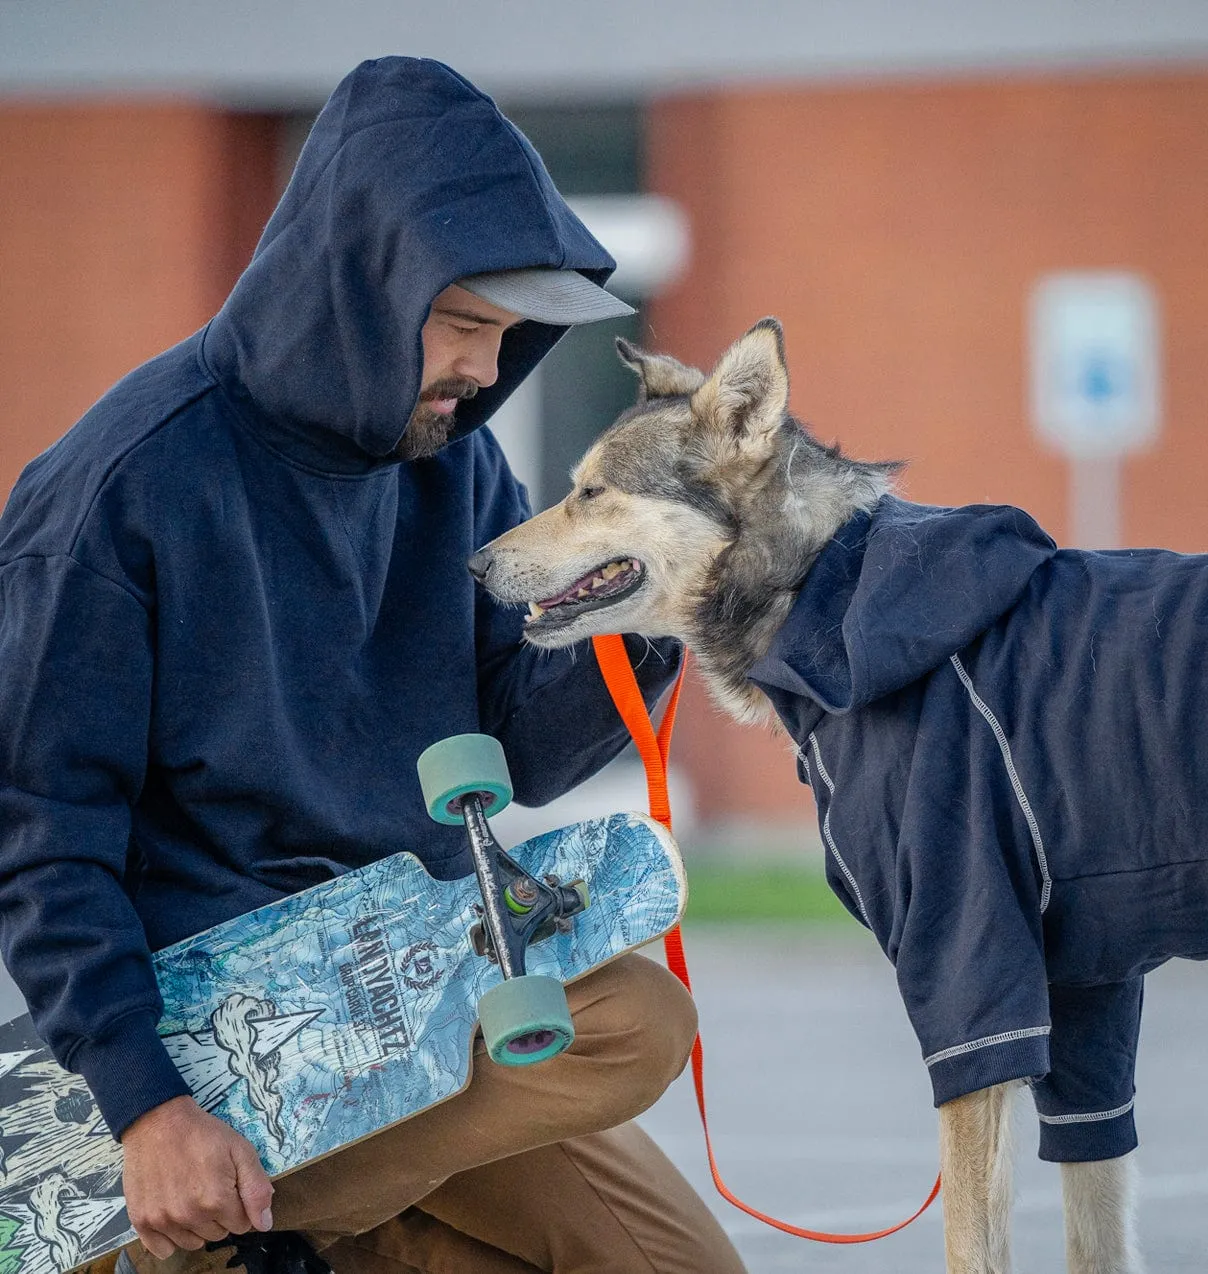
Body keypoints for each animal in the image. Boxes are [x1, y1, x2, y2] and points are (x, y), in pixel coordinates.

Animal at [468, 321, 1208, 1274]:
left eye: (592, 491)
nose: (474, 563)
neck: (817, 589)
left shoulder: (974, 983)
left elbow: (973, 1242)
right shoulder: (1087, 993)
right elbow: (1096, 1217)